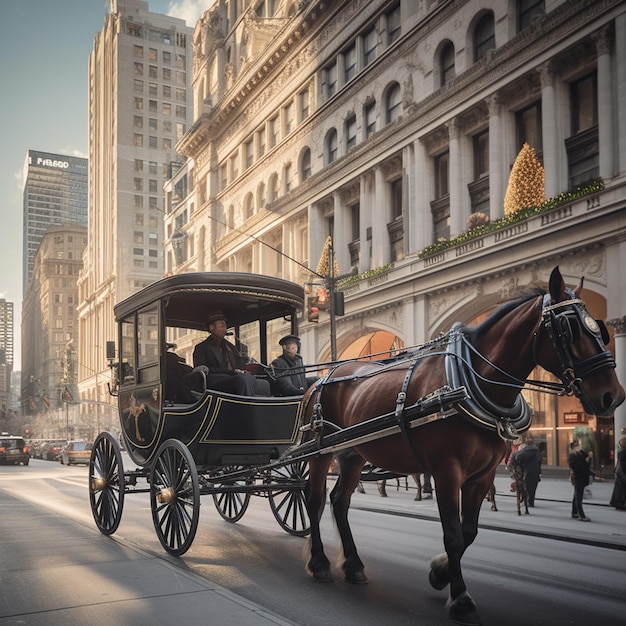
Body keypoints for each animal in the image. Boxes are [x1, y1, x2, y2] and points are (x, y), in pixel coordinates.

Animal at [300, 266, 620, 620]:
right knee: (314, 500)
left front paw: (439, 573)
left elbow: (469, 531)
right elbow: (453, 534)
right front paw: (461, 598)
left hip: (351, 454)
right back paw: (320, 562)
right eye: (569, 327)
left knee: (339, 501)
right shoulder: (446, 471)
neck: (469, 381)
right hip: (320, 452)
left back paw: (354, 565)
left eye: (600, 328)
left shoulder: (483, 474)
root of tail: (324, 376)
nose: (613, 395)